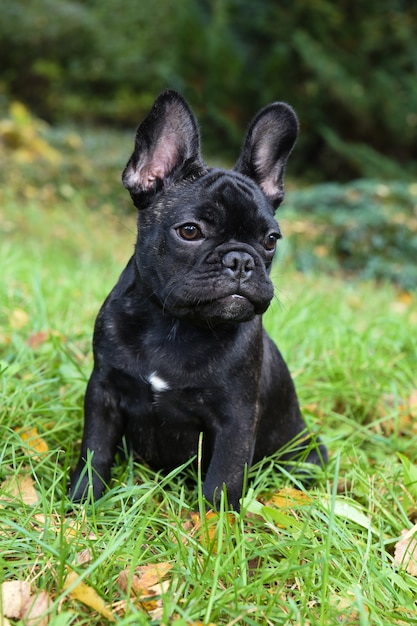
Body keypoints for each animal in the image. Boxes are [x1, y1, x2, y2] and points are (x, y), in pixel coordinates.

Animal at [70, 89, 326, 508]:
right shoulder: (103, 392)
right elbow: (95, 450)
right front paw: (81, 504)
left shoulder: (236, 417)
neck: (175, 324)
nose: (240, 260)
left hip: (305, 452)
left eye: (271, 240)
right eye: (190, 231)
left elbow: (222, 479)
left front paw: (211, 522)